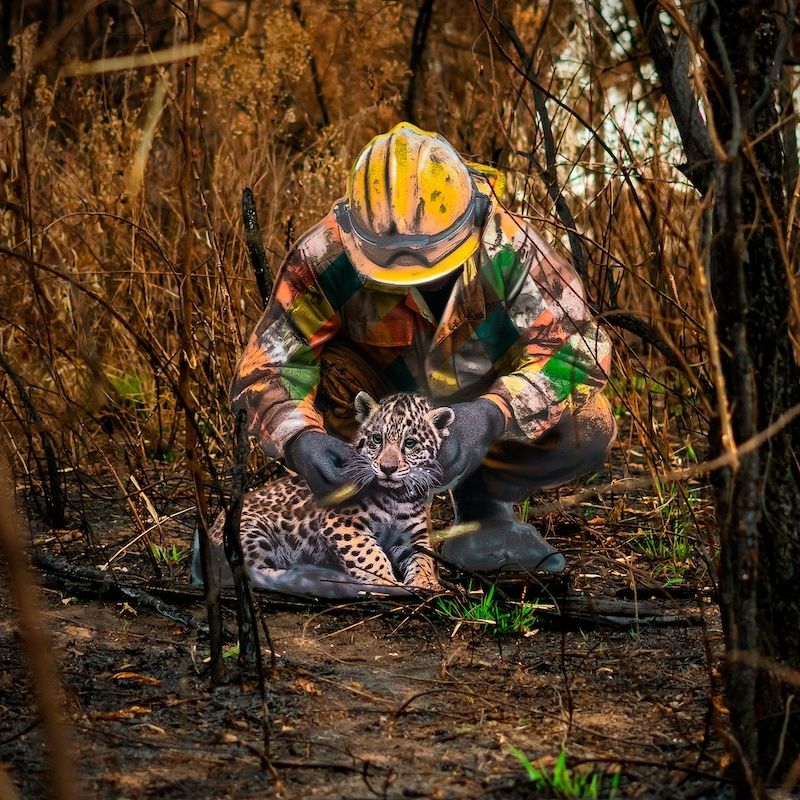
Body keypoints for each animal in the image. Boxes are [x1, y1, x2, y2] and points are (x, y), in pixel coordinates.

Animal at [199, 392, 454, 599]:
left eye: (409, 443)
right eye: (377, 439)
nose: (387, 468)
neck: (397, 498)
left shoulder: (414, 539)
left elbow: (424, 561)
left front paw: (427, 583)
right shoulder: (343, 525)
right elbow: (370, 557)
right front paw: (386, 584)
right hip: (252, 532)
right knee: (251, 571)